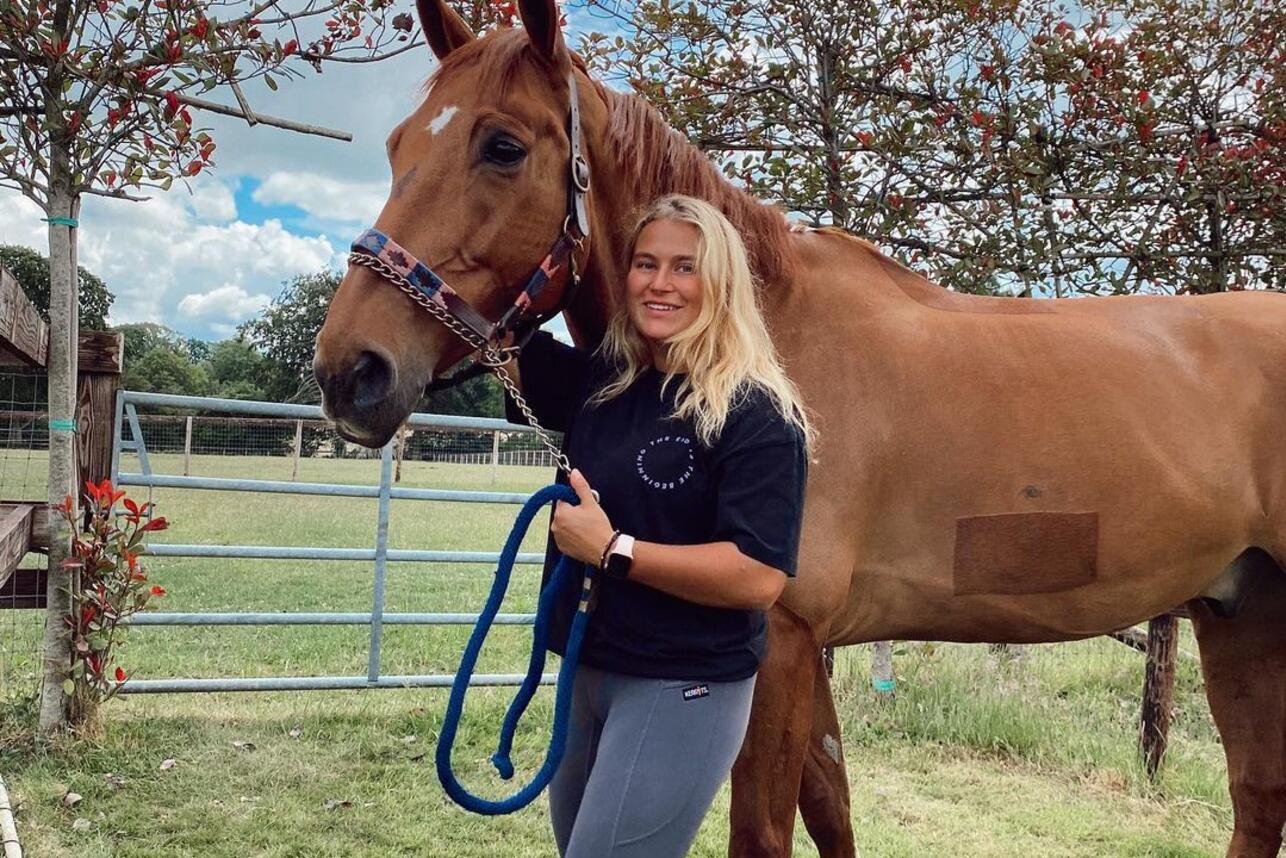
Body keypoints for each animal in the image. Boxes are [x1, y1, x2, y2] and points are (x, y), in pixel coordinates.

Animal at [311, 3, 1286, 854]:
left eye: (503, 146)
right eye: (397, 147)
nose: (349, 370)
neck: (766, 341)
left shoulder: (776, 647)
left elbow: (768, 831)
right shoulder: (807, 654)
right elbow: (833, 809)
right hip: (1240, 613)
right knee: (1257, 801)